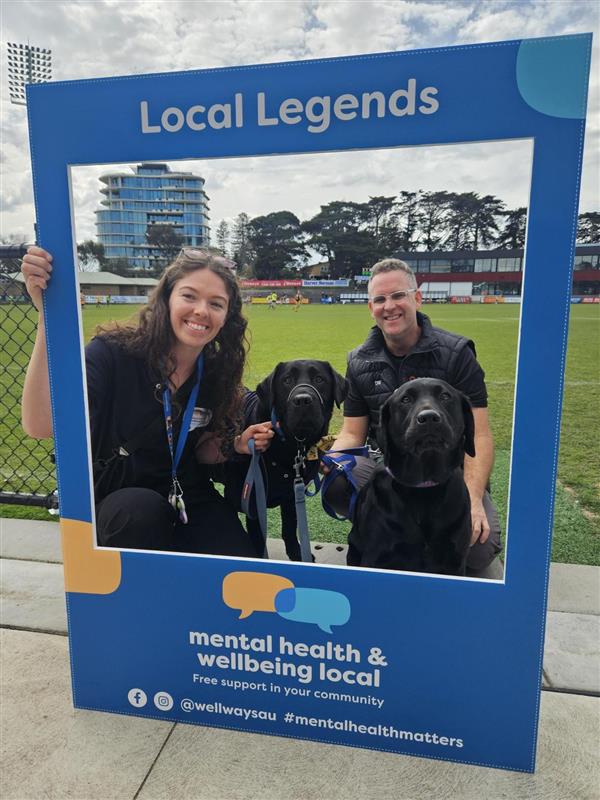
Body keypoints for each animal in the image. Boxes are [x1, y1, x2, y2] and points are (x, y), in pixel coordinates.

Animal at [225, 360, 346, 560]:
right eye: (287, 380)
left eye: (319, 379)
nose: (303, 400)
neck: (292, 445)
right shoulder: (254, 504)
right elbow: (258, 540)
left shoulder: (292, 495)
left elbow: (289, 529)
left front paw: (297, 554)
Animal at [344, 380, 476, 576]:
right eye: (405, 399)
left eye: (445, 396)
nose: (429, 418)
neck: (423, 488)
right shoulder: (376, 556)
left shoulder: (455, 561)